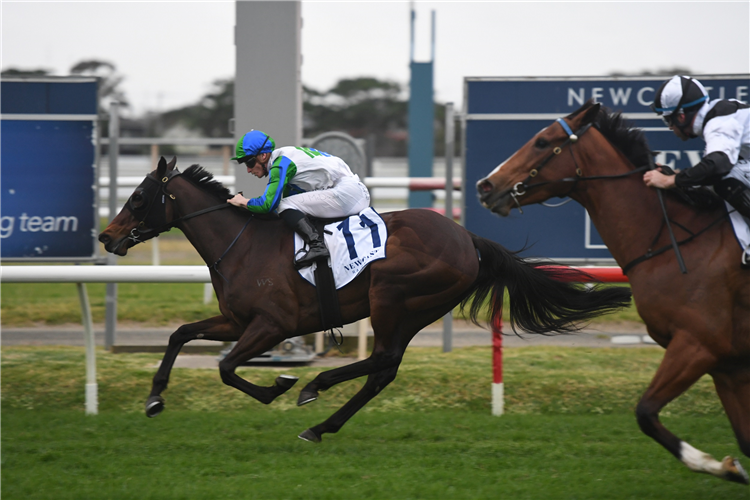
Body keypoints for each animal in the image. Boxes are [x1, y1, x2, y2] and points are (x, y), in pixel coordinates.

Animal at [97, 155, 632, 442]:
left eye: (139, 196)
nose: (106, 236)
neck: (242, 243)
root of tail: (467, 238)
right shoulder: (237, 321)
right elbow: (180, 334)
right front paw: (154, 398)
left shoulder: (272, 325)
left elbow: (227, 367)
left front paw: (280, 385)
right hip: (413, 309)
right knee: (383, 369)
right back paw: (321, 423)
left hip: (393, 296)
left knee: (382, 361)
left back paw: (317, 387)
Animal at [478, 99, 748, 486]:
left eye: (543, 141)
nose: (485, 186)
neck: (672, 240)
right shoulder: (728, 363)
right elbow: (746, 438)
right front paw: (730, 467)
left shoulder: (697, 345)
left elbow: (645, 412)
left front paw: (716, 464)